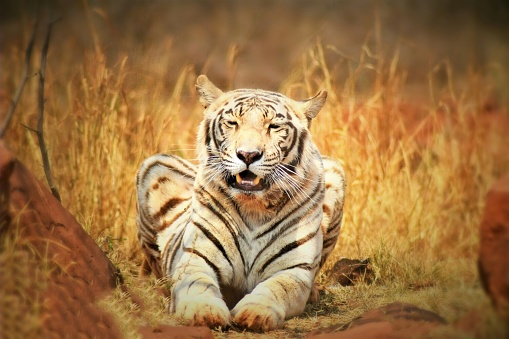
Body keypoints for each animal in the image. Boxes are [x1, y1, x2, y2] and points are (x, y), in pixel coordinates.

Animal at [136, 75, 346, 334]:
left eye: (273, 126)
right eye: (232, 123)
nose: (248, 155)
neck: (253, 207)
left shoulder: (293, 269)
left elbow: (277, 289)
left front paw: (255, 312)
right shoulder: (196, 257)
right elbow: (196, 284)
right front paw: (203, 311)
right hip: (155, 166)